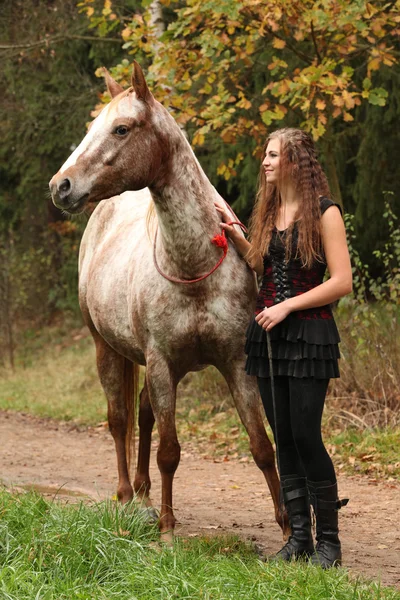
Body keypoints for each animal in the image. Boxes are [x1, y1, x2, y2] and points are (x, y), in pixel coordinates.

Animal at [49, 62, 288, 544]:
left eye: (121, 129)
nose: (60, 186)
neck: (194, 266)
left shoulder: (235, 362)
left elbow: (261, 445)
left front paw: (290, 528)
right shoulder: (161, 363)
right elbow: (170, 452)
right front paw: (167, 529)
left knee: (142, 414)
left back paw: (143, 492)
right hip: (107, 350)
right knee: (119, 418)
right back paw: (127, 495)